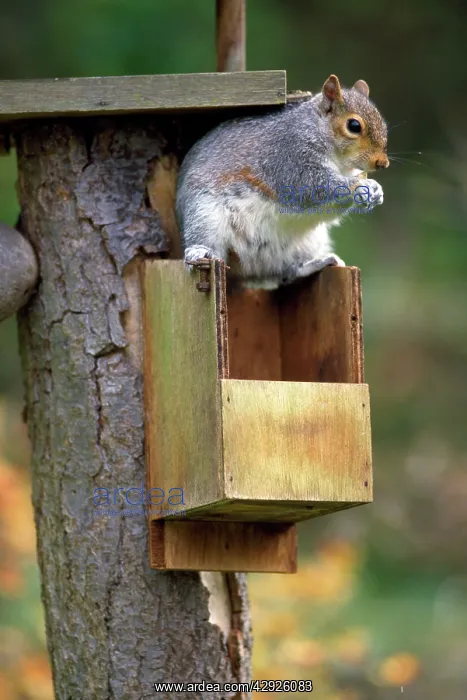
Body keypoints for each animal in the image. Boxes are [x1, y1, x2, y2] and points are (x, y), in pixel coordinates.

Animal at [176, 74, 389, 289]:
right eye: (354, 126)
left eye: (384, 126)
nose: (382, 163)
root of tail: (249, 272)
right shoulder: (290, 157)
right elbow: (313, 186)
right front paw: (361, 186)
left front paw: (376, 191)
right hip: (204, 216)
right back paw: (199, 251)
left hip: (307, 243)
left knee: (287, 272)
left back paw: (314, 263)